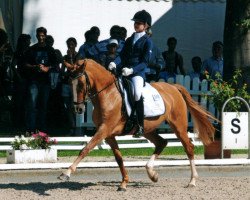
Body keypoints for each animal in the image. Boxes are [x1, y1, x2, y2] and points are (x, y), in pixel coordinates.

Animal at [58, 59, 215, 191]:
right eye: (69, 83)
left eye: (80, 84)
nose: (78, 109)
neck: (108, 94)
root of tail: (173, 87)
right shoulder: (108, 134)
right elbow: (119, 158)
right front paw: (124, 183)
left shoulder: (104, 129)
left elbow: (86, 148)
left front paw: (66, 173)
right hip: (147, 129)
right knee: (162, 142)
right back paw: (152, 174)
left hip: (178, 125)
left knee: (188, 147)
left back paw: (192, 181)